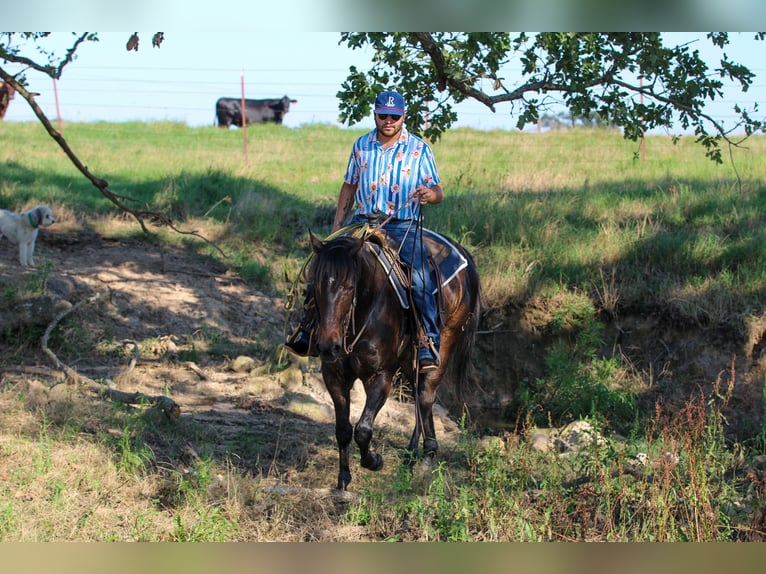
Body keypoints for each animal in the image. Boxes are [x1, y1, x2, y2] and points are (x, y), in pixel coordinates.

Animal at [308, 230, 480, 490]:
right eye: (316, 284)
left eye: (349, 287)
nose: (328, 347)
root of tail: (465, 256)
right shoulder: (334, 376)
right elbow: (343, 429)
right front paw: (343, 479)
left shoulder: (380, 375)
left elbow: (363, 429)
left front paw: (374, 461)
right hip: (410, 360)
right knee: (419, 397)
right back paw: (410, 460)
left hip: (445, 345)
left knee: (425, 396)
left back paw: (426, 459)